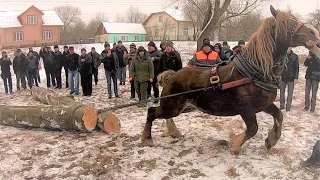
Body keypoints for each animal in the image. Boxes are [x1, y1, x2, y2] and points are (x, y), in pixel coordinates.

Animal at [142, 6, 320, 154]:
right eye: (288, 23)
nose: (314, 33)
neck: (255, 72)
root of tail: (171, 76)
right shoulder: (245, 108)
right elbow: (253, 128)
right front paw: (235, 145)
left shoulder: (264, 104)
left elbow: (279, 117)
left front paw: (271, 140)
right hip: (172, 107)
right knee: (151, 112)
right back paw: (147, 139)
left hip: (186, 107)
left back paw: (173, 132)